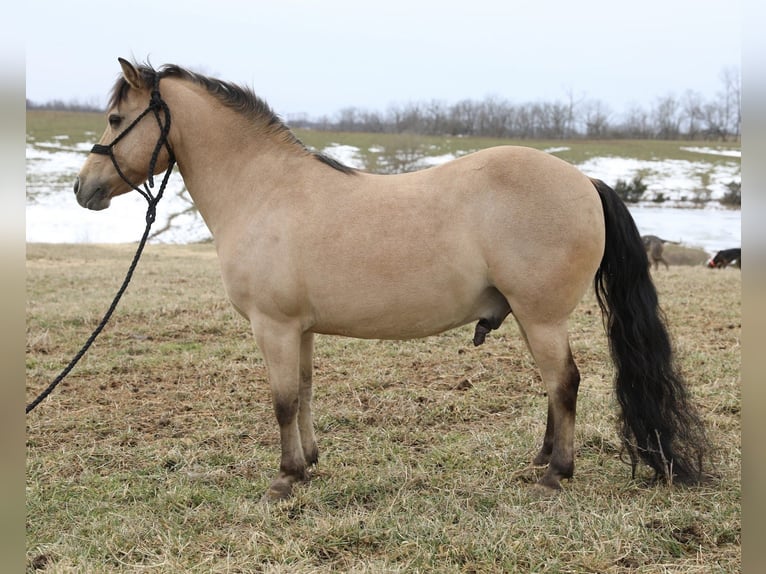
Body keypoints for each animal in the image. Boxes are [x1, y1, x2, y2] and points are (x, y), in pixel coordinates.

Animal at [74, 59, 709, 502]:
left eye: (114, 118)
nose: (84, 189)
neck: (265, 190)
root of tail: (584, 181)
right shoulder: (300, 329)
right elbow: (304, 391)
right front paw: (309, 464)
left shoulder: (272, 326)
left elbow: (281, 400)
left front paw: (284, 478)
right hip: (534, 320)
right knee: (556, 387)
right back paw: (540, 459)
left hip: (542, 316)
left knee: (565, 383)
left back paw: (556, 474)